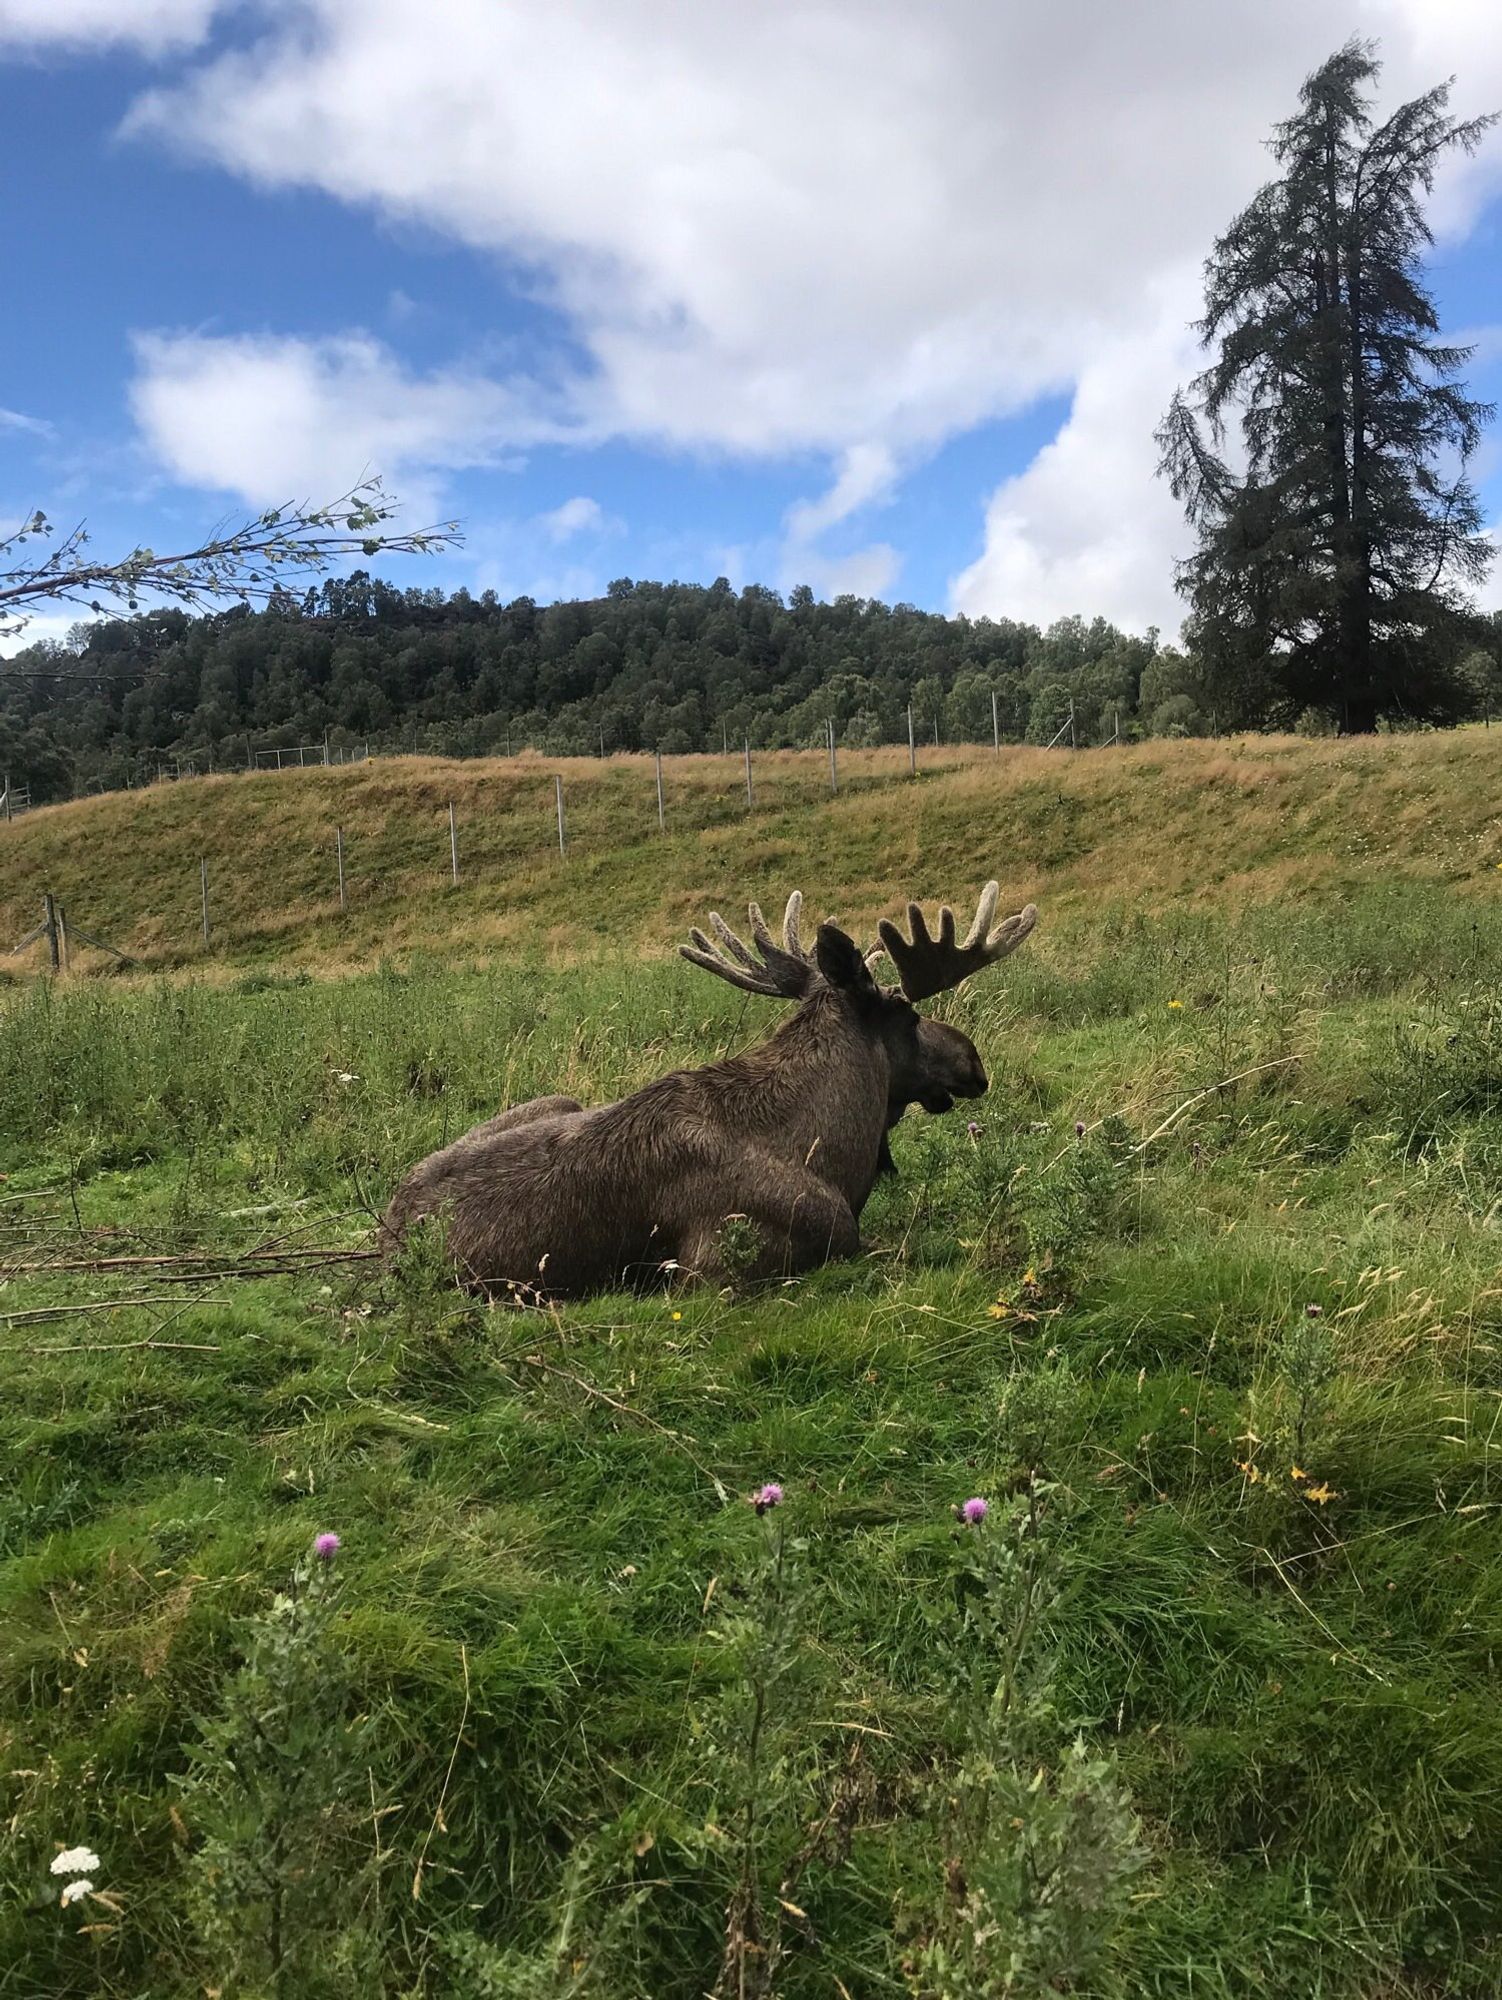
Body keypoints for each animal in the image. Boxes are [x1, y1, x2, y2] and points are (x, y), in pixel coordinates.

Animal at [388, 880, 1040, 1296]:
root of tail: (388, 1228)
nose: (972, 1059)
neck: (833, 1153)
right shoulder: (717, 1266)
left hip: (557, 1100)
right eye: (906, 1013)